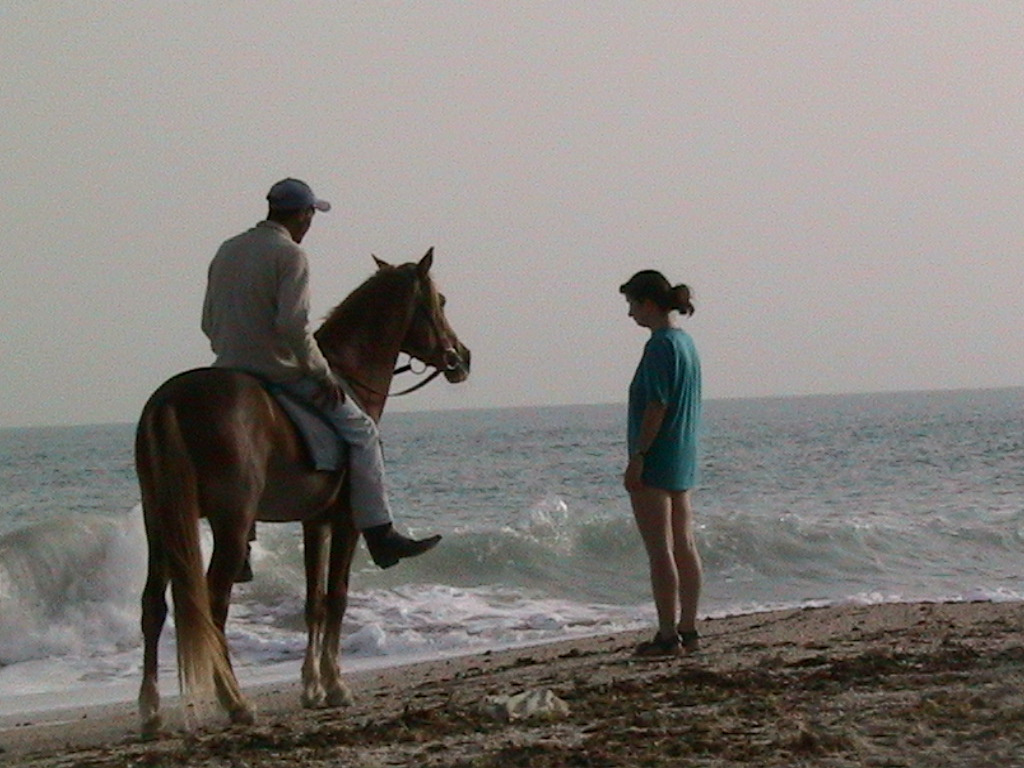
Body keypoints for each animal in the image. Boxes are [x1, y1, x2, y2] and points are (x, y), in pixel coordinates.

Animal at [133, 249, 471, 737]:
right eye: (440, 301)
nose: (462, 356)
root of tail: (170, 400)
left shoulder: (315, 521)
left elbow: (313, 603)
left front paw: (312, 687)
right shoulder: (346, 521)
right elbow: (337, 597)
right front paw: (336, 686)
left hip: (158, 522)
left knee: (152, 607)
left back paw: (151, 710)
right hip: (230, 524)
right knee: (213, 605)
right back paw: (235, 702)